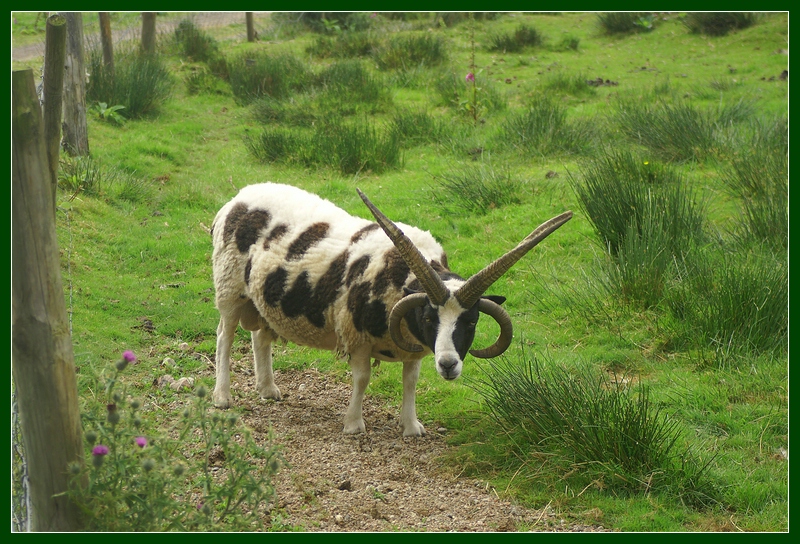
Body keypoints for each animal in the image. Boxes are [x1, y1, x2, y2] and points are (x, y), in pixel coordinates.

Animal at [206, 184, 568, 438]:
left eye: (471, 321)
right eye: (428, 317)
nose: (449, 365)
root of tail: (239, 197)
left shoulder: (414, 351)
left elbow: (411, 382)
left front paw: (411, 427)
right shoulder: (356, 336)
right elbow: (363, 378)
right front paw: (354, 424)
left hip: (263, 299)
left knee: (260, 337)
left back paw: (268, 390)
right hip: (229, 289)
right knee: (225, 337)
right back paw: (222, 396)